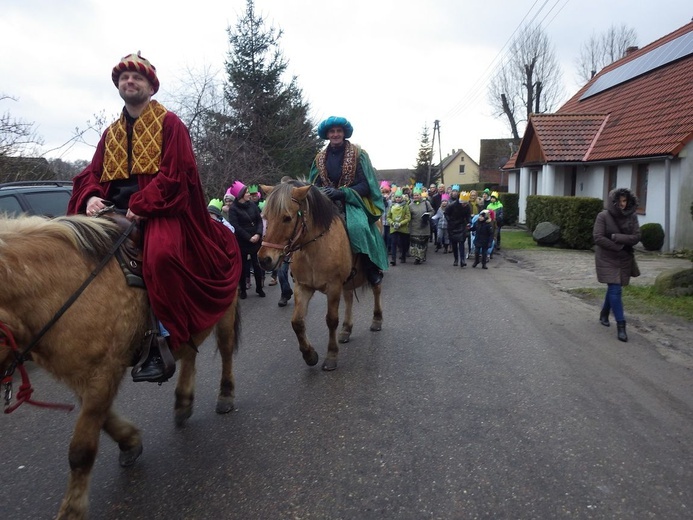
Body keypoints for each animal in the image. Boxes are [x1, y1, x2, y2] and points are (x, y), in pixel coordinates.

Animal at [0, 213, 239, 516]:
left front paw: (73, 509)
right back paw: (183, 402)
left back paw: (226, 395)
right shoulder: (80, 374)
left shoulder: (103, 371)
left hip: (226, 308)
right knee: (189, 354)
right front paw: (130, 441)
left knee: (226, 350)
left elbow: (81, 450)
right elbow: (103, 420)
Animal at [256, 181, 382, 372]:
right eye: (265, 217)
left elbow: (331, 320)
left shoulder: (333, 286)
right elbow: (297, 322)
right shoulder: (303, 286)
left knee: (376, 289)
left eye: (287, 218)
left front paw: (331, 356)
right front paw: (309, 355)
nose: (264, 260)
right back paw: (346, 329)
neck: (313, 249)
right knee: (349, 298)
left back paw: (377, 319)